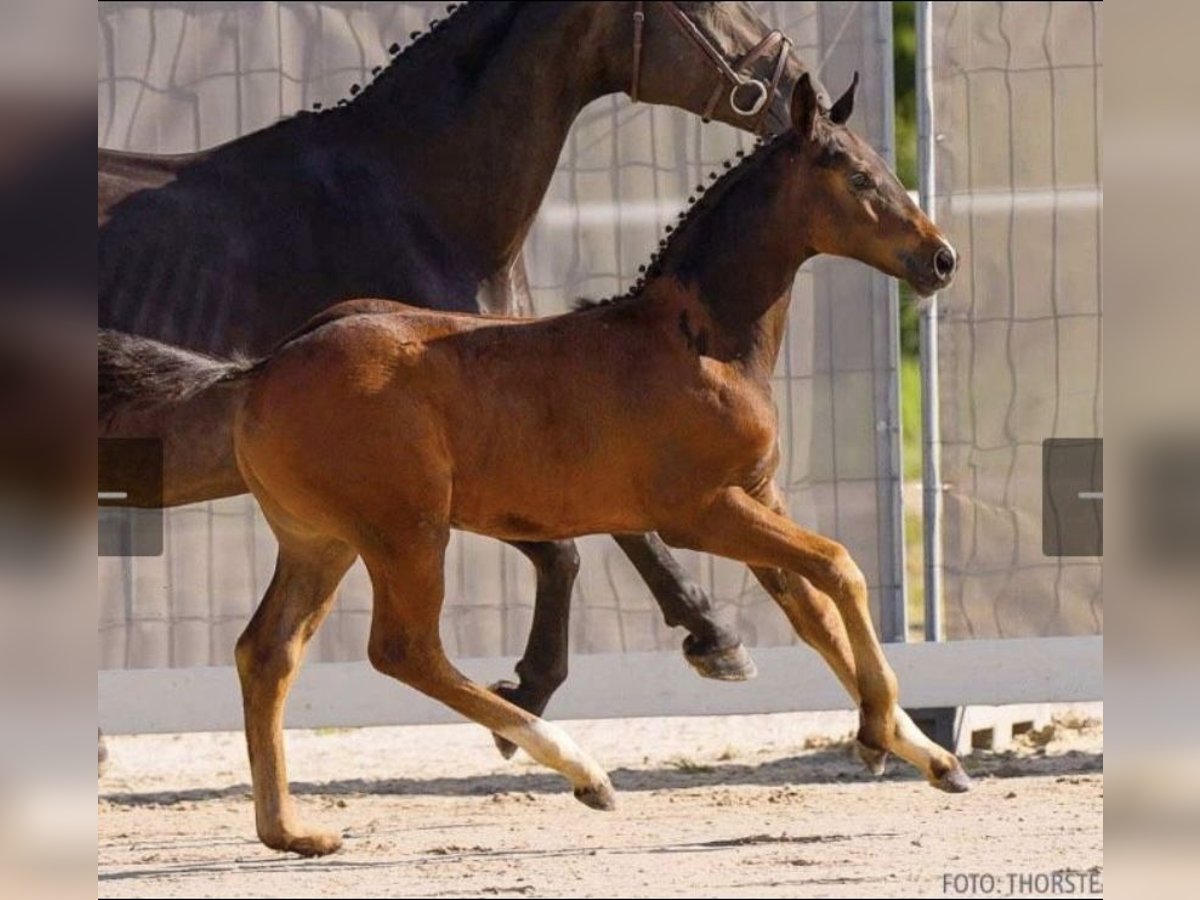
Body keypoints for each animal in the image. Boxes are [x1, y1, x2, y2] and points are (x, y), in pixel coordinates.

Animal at [192, 74, 964, 854]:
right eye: (858, 176)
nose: (941, 260)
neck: (702, 343)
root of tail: (263, 370)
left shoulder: (758, 497)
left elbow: (815, 614)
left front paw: (930, 757)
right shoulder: (700, 512)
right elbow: (840, 567)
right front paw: (875, 735)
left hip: (321, 542)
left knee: (267, 652)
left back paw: (290, 830)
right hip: (404, 534)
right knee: (402, 649)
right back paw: (583, 770)